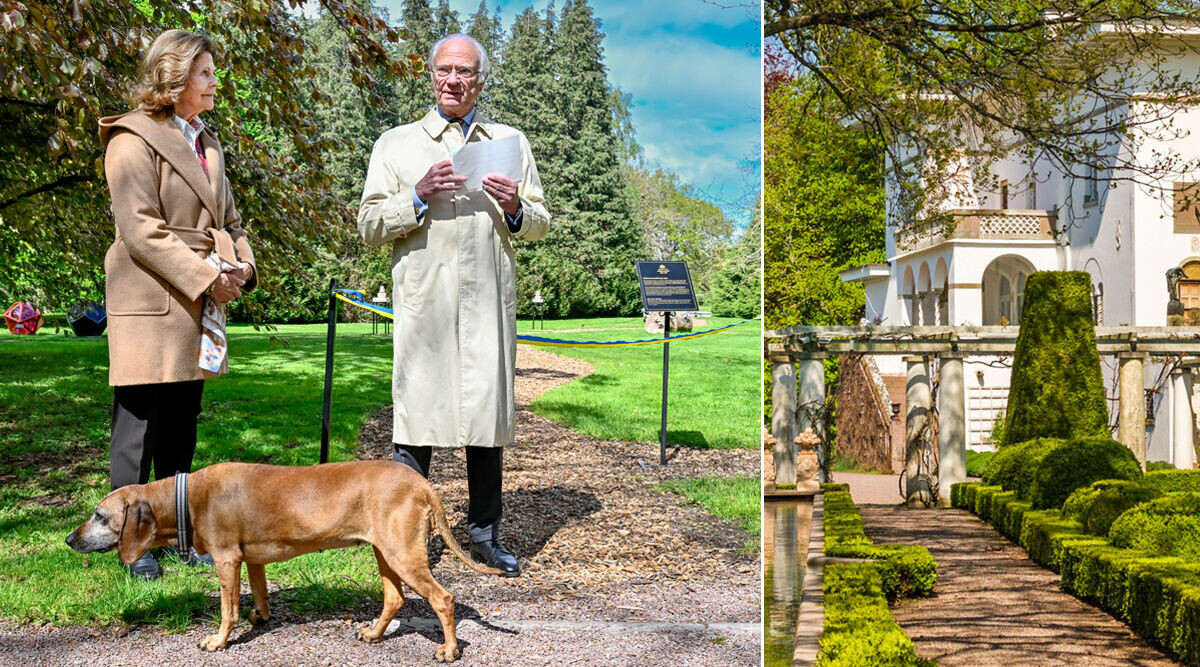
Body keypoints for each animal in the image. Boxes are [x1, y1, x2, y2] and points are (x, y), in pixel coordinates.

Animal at [63, 460, 504, 657]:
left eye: (100, 516)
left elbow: (227, 611)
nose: (68, 539)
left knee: (443, 599)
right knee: (394, 598)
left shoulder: (227, 560)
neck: (187, 498)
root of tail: (422, 481)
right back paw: (374, 634)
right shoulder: (251, 559)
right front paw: (261, 617)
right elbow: (259, 594)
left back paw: (450, 650)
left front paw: (219, 641)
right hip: (386, 552)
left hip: (402, 555)